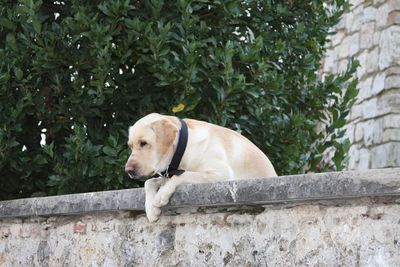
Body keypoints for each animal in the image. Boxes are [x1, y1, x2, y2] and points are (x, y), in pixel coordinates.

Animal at [125, 113, 278, 222]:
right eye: (130, 146)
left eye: (144, 143)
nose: (128, 170)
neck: (185, 148)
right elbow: (148, 182)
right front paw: (150, 209)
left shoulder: (222, 174)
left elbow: (183, 175)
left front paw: (161, 194)